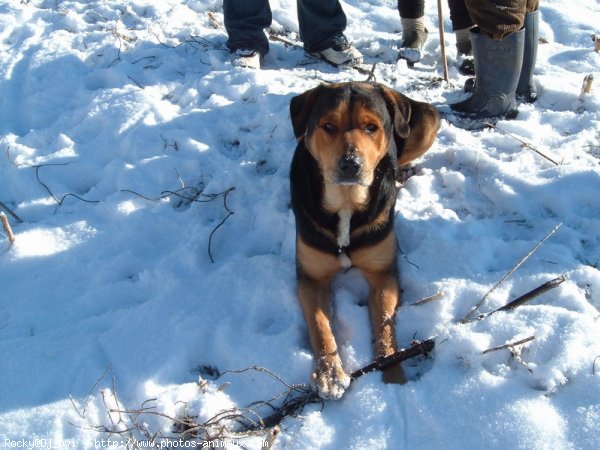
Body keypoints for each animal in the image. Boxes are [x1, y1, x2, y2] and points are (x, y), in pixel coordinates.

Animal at [288, 80, 438, 398]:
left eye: (371, 127)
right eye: (328, 125)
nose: (350, 164)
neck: (346, 202)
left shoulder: (383, 272)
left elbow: (384, 325)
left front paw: (392, 372)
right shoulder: (310, 276)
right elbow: (319, 324)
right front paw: (330, 374)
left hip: (428, 121)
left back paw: (403, 172)